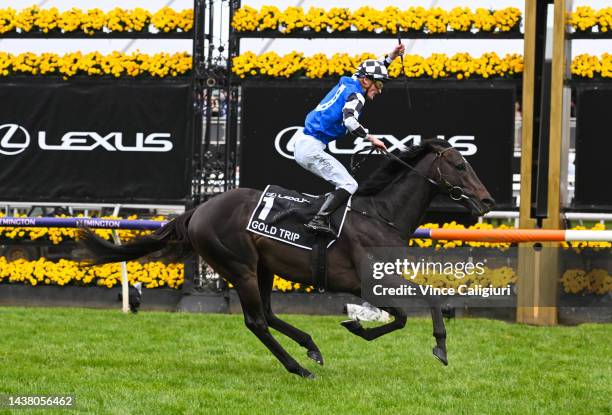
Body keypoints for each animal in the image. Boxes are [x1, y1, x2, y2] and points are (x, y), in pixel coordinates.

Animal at [81, 138, 494, 378]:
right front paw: (372, 330)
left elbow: (422, 300)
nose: (487, 200)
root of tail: (200, 209)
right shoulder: (365, 279)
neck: (379, 214)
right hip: (240, 267)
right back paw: (298, 367)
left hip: (263, 267)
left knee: (267, 314)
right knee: (256, 321)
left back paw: (311, 347)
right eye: (460, 165)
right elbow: (407, 312)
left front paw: (435, 344)